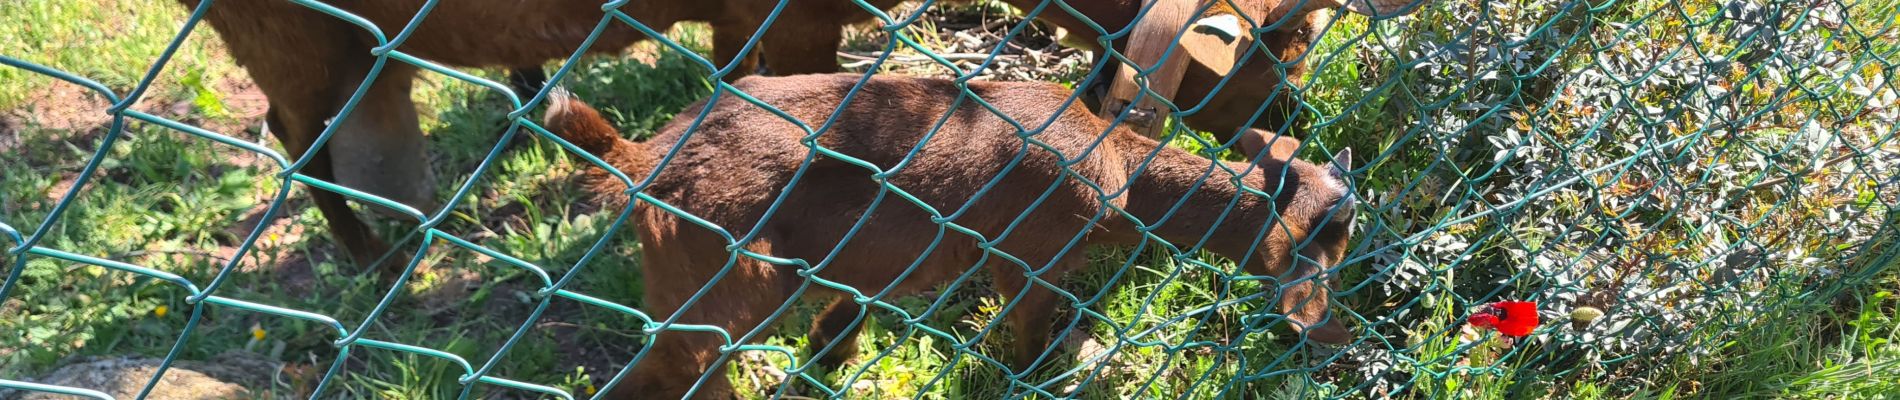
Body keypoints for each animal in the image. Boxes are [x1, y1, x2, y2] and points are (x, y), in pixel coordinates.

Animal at [543, 73, 1360, 398]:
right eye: (1336, 229)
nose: (1331, 334)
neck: (1121, 170)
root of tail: (639, 162)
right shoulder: (1031, 254)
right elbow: (1027, 337)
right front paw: (1037, 376)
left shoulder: (869, 274)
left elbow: (836, 334)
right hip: (721, 288)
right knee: (675, 372)